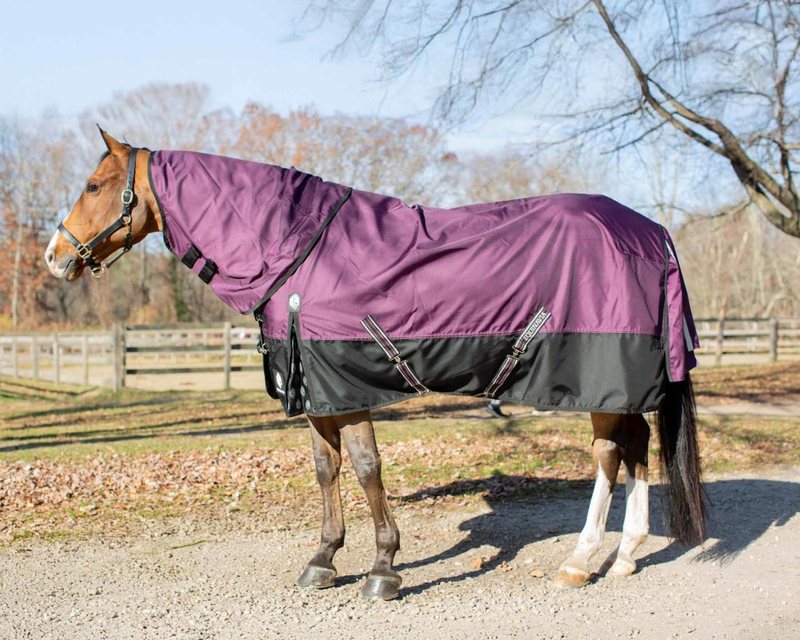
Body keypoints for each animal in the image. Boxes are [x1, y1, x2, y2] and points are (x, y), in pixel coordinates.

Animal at [45, 128, 706, 600]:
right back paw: (625, 557)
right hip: (618, 388)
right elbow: (325, 469)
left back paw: (580, 560)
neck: (301, 253)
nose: (54, 257)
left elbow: (365, 468)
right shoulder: (318, 393)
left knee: (609, 455)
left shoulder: (349, 388)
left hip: (602, 377)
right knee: (637, 447)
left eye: (94, 185)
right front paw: (322, 560)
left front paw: (383, 568)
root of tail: (653, 233)